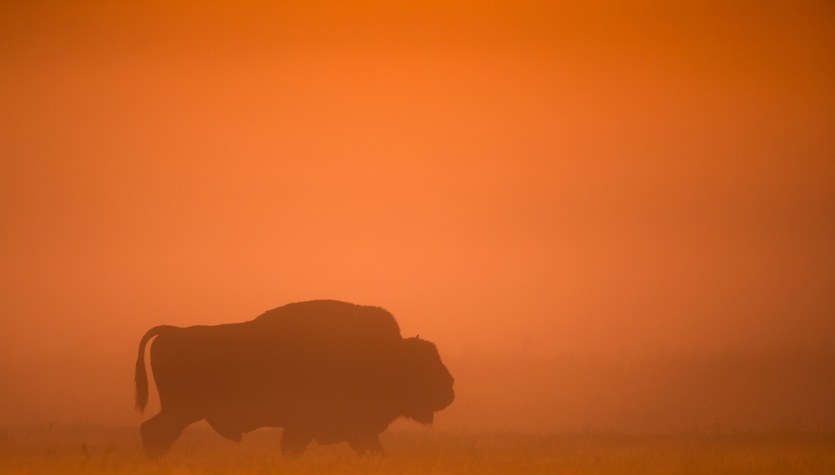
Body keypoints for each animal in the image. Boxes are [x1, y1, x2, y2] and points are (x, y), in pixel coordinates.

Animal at [136, 300, 458, 460]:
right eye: (423, 365)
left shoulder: (345, 430)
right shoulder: (329, 426)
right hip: (180, 411)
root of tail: (171, 331)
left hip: (179, 412)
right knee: (153, 433)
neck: (384, 354)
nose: (449, 390)